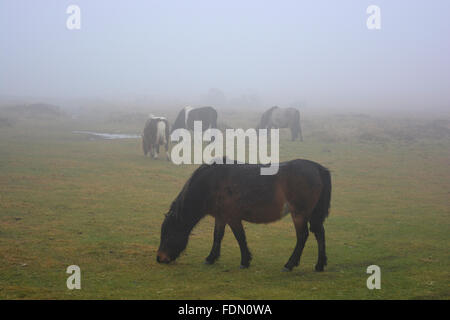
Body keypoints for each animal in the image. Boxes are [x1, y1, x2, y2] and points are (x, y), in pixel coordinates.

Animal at [157, 159, 330, 272]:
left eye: (168, 234)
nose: (159, 258)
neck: (212, 181)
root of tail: (317, 168)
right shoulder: (221, 217)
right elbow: (217, 236)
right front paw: (211, 258)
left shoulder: (232, 217)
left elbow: (240, 237)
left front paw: (245, 261)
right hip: (311, 214)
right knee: (319, 233)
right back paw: (319, 265)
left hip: (299, 214)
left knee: (302, 236)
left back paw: (290, 264)